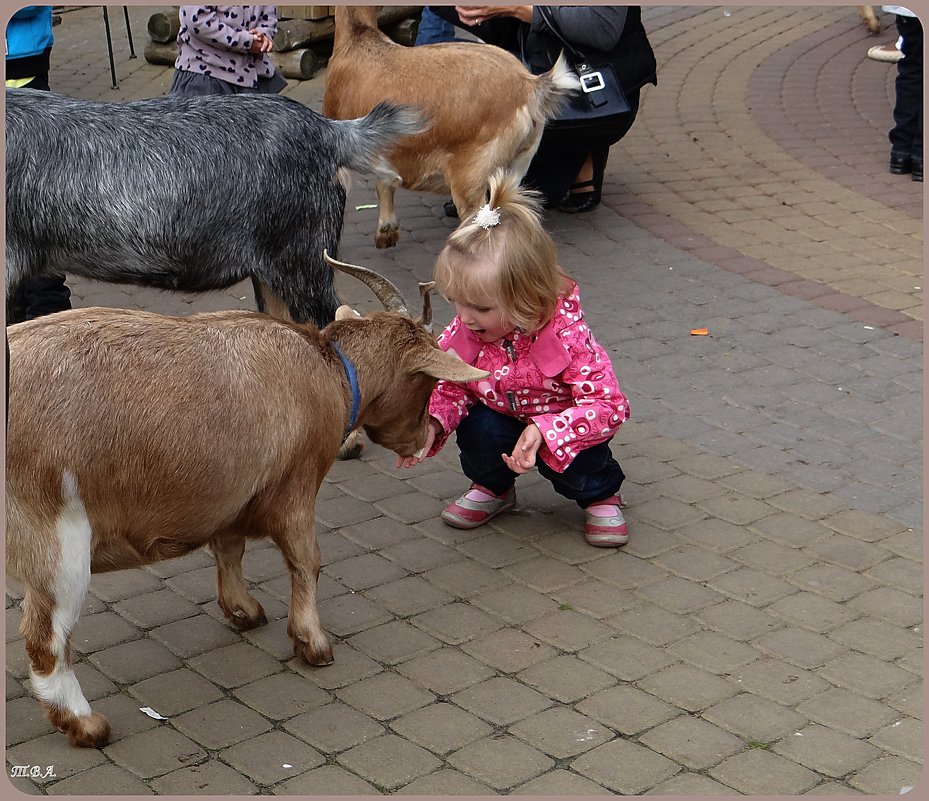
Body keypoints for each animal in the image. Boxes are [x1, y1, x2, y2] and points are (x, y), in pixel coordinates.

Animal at [5, 258, 486, 752]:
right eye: (426, 381)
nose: (424, 437)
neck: (329, 369)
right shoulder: (296, 489)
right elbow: (307, 562)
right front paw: (313, 644)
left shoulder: (232, 494)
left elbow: (229, 549)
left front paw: (244, 610)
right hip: (58, 540)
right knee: (45, 638)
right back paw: (86, 724)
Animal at [322, 4, 576, 247]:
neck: (358, 38)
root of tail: (528, 85)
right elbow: (385, 182)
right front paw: (386, 231)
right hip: (515, 168)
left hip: (471, 175)